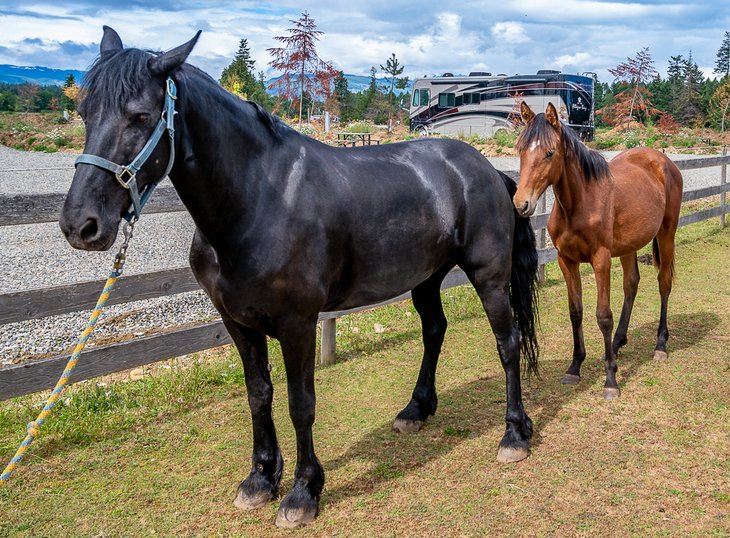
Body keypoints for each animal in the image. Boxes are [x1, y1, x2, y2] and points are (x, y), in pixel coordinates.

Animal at [59, 27, 536, 524]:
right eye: (84, 113)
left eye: (140, 116)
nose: (80, 225)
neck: (258, 201)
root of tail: (486, 168)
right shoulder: (238, 322)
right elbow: (258, 395)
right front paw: (260, 478)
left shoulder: (297, 323)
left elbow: (300, 403)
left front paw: (303, 492)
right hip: (425, 277)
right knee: (435, 330)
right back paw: (416, 410)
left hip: (488, 276)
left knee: (508, 343)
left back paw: (514, 434)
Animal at [512, 102, 684, 398]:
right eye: (521, 149)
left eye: (549, 152)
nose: (521, 204)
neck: (580, 204)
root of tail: (663, 160)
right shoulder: (566, 261)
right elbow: (575, 311)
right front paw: (574, 366)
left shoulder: (601, 260)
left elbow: (603, 316)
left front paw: (611, 379)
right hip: (628, 246)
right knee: (631, 285)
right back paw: (616, 344)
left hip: (666, 234)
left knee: (664, 283)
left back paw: (660, 344)